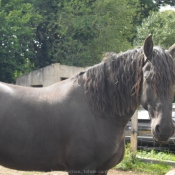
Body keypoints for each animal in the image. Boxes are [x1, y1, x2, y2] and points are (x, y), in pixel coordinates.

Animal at [0, 35, 175, 174]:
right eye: (147, 77)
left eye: (173, 81)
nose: (165, 129)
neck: (99, 112)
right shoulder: (81, 169)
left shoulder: (102, 169)